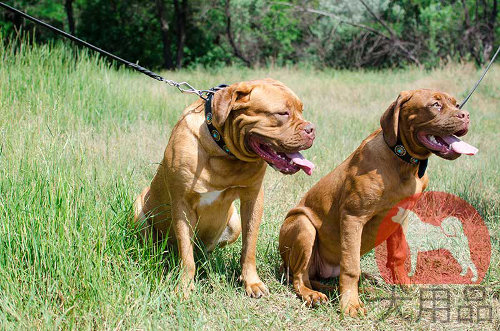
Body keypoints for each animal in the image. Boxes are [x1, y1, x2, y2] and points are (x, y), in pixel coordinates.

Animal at [134, 79, 316, 300]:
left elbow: (249, 246)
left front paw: (251, 282)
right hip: (138, 210)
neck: (224, 152)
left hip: (234, 222)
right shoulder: (182, 204)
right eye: (283, 113)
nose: (312, 129)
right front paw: (184, 286)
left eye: (301, 110)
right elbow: (186, 252)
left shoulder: (253, 198)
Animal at [280, 89, 478, 318]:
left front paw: (403, 284)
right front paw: (350, 304)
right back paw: (312, 294)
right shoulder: (353, 217)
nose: (466, 115)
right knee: (300, 277)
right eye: (435, 105)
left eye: (456, 104)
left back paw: (367, 283)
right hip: (303, 224)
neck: (401, 160)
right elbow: (351, 267)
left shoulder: (401, 217)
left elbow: (399, 255)